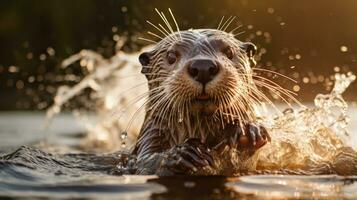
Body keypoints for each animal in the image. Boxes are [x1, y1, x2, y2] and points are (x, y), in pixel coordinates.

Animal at [132, 28, 268, 175]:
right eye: (171, 55)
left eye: (229, 52)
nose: (203, 66)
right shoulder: (150, 136)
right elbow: (147, 163)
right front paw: (183, 154)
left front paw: (248, 131)